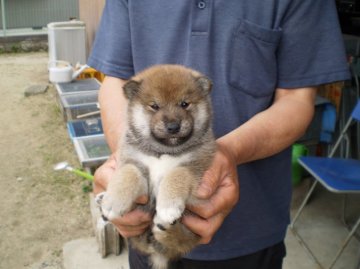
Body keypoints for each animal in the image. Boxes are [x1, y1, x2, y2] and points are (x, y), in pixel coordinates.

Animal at [100, 65, 215, 268]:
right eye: (154, 106)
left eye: (184, 104)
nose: (173, 126)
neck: (163, 152)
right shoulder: (134, 163)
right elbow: (128, 173)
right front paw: (113, 201)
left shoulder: (195, 168)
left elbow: (176, 174)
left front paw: (168, 207)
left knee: (182, 241)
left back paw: (167, 229)